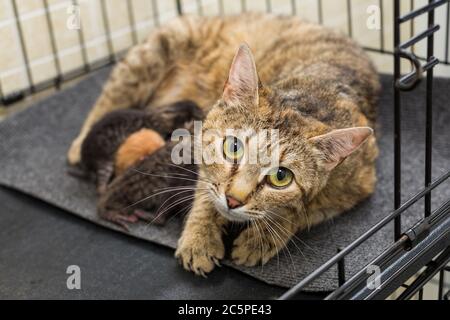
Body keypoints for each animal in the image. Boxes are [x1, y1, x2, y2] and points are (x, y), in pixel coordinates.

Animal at [68, 13, 380, 276]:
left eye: (281, 177)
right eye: (233, 147)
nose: (234, 200)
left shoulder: (356, 185)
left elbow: (301, 209)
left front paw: (261, 238)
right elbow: (206, 194)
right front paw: (199, 238)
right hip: (152, 54)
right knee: (110, 97)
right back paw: (77, 146)